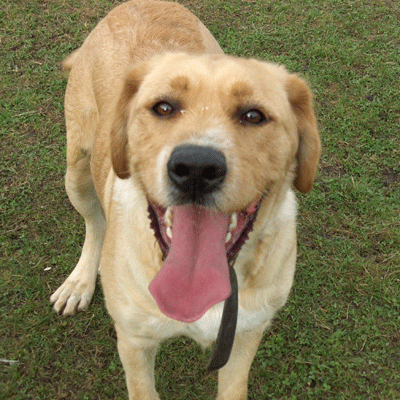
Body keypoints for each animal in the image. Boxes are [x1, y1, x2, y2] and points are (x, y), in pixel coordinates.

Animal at [50, 1, 320, 398]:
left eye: (253, 115)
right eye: (163, 108)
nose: (196, 168)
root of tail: (134, 4)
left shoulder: (246, 334)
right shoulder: (134, 342)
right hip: (77, 172)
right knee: (94, 222)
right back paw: (80, 281)